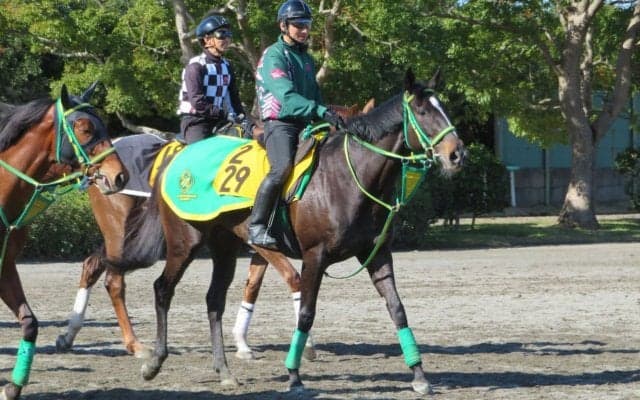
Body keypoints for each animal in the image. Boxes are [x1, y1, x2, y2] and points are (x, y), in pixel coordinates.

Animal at [55, 100, 374, 362]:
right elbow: (293, 279)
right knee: (113, 280)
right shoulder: (257, 239)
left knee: (92, 265)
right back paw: (133, 344)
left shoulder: (261, 243)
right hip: (119, 232)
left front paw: (242, 343)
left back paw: (69, 335)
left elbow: (252, 286)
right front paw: (306, 344)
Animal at [115, 68, 464, 394]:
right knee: (163, 289)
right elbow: (306, 312)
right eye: (422, 111)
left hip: (224, 247)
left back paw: (224, 371)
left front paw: (419, 375)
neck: (346, 178)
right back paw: (154, 361)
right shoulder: (313, 256)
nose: (457, 153)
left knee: (214, 300)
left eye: (443, 108)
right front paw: (294, 374)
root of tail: (175, 158)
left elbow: (397, 310)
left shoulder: (376, 254)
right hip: (184, 242)